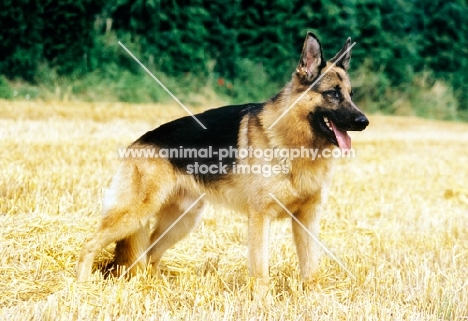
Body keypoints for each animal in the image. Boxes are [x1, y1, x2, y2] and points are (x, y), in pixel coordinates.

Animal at [77, 31, 370, 284]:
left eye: (351, 95)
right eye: (333, 93)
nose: (364, 121)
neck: (295, 142)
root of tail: (138, 142)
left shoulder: (307, 221)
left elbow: (311, 271)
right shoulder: (259, 218)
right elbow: (260, 273)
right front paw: (262, 304)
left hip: (182, 221)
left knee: (149, 254)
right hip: (135, 215)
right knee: (90, 243)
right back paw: (82, 284)